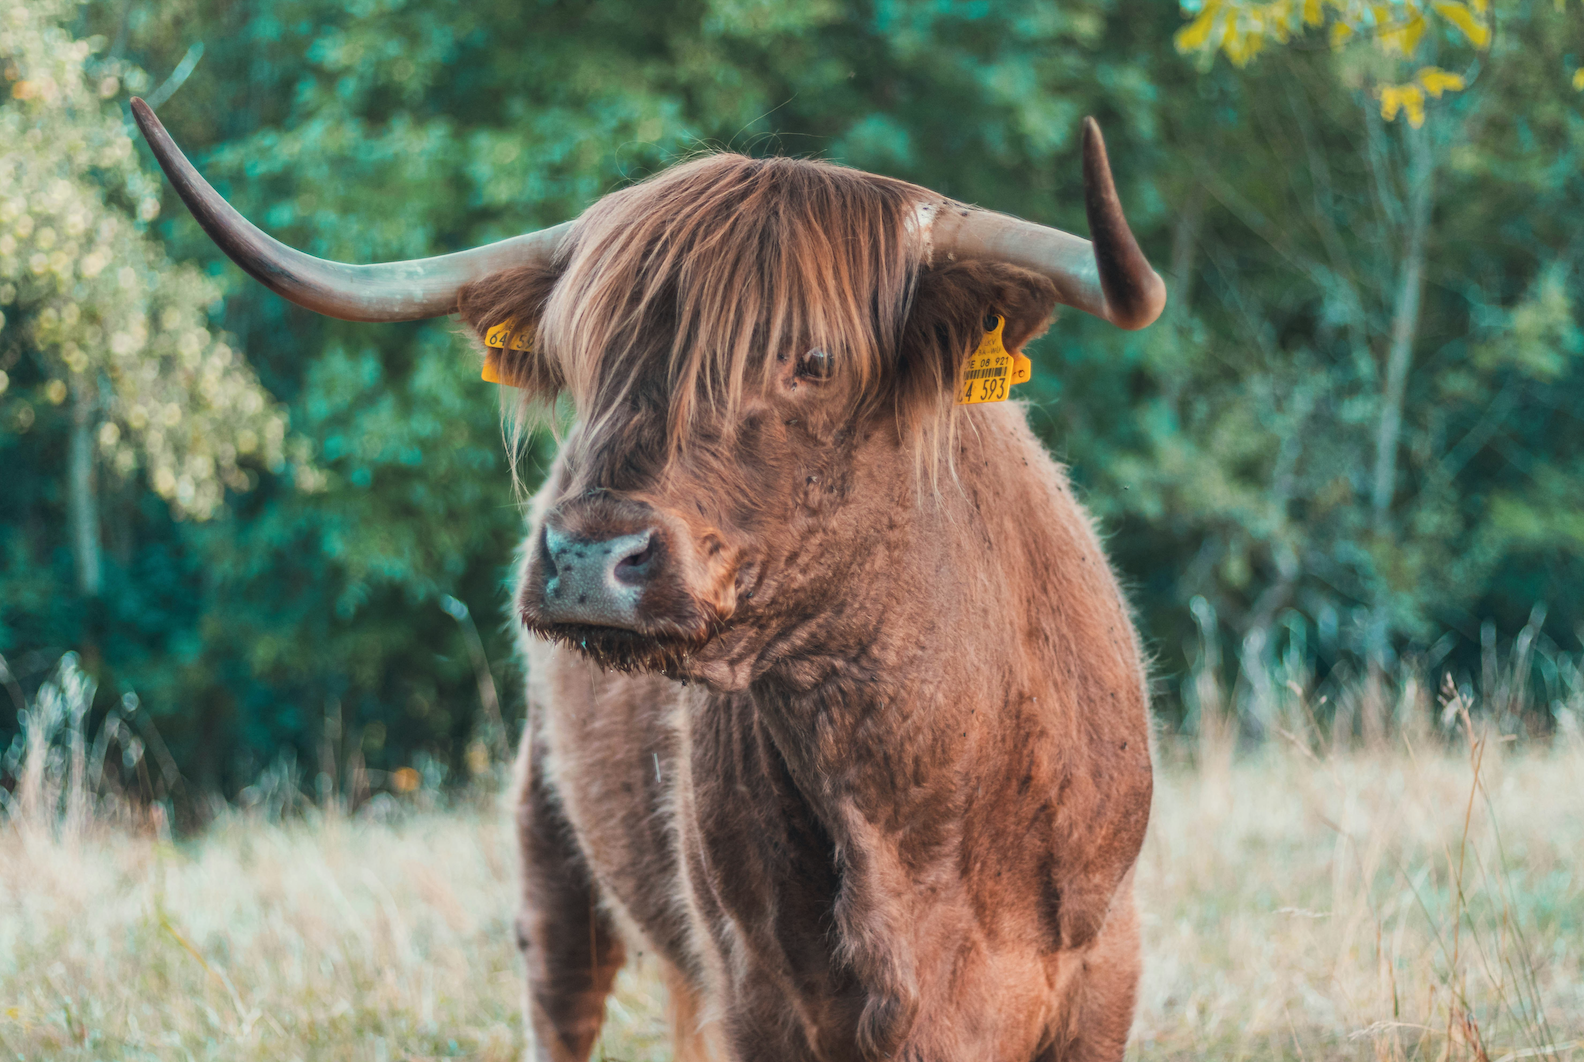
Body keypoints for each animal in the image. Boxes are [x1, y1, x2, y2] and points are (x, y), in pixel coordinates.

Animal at [133, 97, 1164, 1062]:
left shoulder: (1100, 972)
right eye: (583, 355)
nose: (591, 558)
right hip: (549, 843)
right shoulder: (758, 989)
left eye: (815, 359)